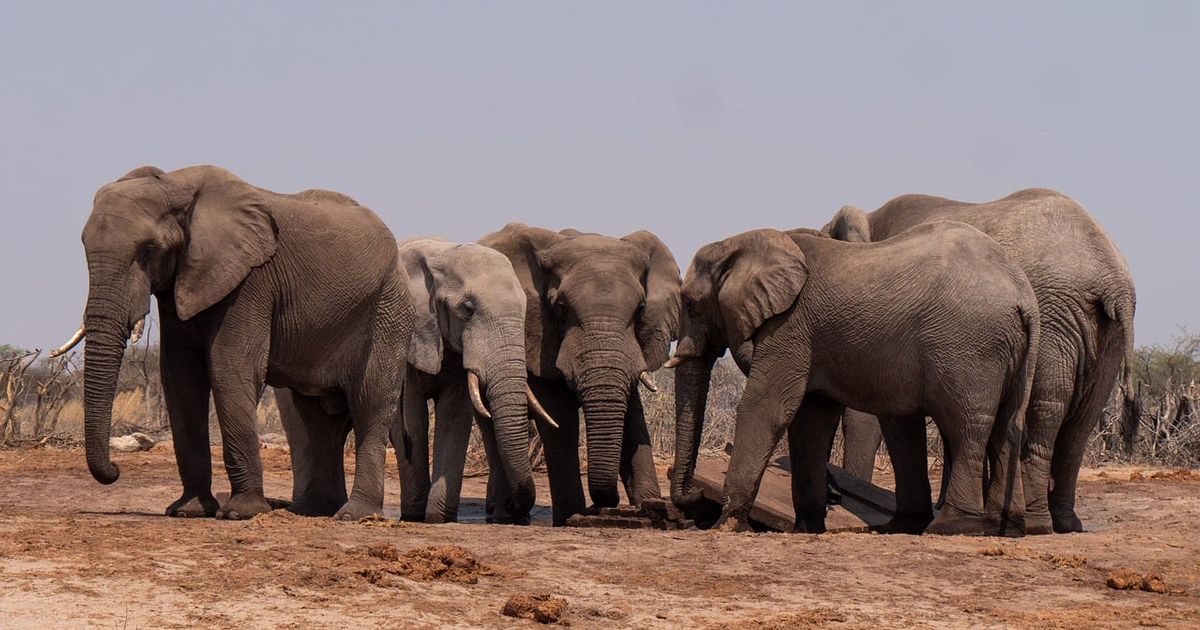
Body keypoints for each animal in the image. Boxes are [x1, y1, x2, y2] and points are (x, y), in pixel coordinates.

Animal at [56, 165, 412, 520]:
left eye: (149, 250)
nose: (115, 470)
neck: (175, 185)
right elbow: (180, 379)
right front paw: (188, 511)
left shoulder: (251, 281)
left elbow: (230, 368)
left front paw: (240, 513)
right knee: (319, 419)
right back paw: (311, 510)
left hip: (387, 308)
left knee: (369, 403)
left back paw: (355, 515)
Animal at [477, 223, 686, 523]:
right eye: (560, 308)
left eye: (641, 309)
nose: (605, 504)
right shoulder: (539, 336)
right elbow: (559, 417)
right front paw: (571, 516)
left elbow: (632, 416)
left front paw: (650, 505)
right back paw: (503, 513)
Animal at [667, 223, 1041, 532]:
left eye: (690, 304)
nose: (693, 495)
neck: (739, 243)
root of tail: (1023, 293)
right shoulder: (810, 337)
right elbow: (811, 420)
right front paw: (807, 528)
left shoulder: (789, 327)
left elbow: (767, 408)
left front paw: (726, 525)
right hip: (1004, 349)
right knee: (1006, 427)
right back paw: (1001, 526)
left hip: (970, 346)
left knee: (966, 426)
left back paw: (951, 526)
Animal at [820, 189, 1137, 532]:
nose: (835, 496)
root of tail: (1113, 278)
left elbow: (879, 413)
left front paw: (904, 523)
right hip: (1105, 334)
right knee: (1081, 422)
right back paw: (1064, 524)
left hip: (1055, 317)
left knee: (1045, 410)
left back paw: (1035, 523)